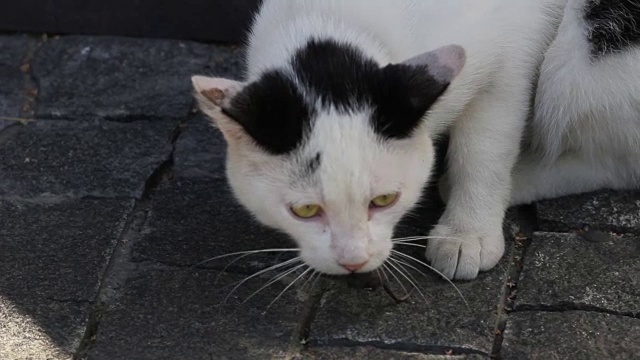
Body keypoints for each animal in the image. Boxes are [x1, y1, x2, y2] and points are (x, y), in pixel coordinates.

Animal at [191, 0, 640, 280]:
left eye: (384, 200)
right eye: (304, 210)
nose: (353, 261)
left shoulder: (511, 56)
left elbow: (484, 149)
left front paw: (467, 232)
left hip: (581, 60)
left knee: (618, 164)